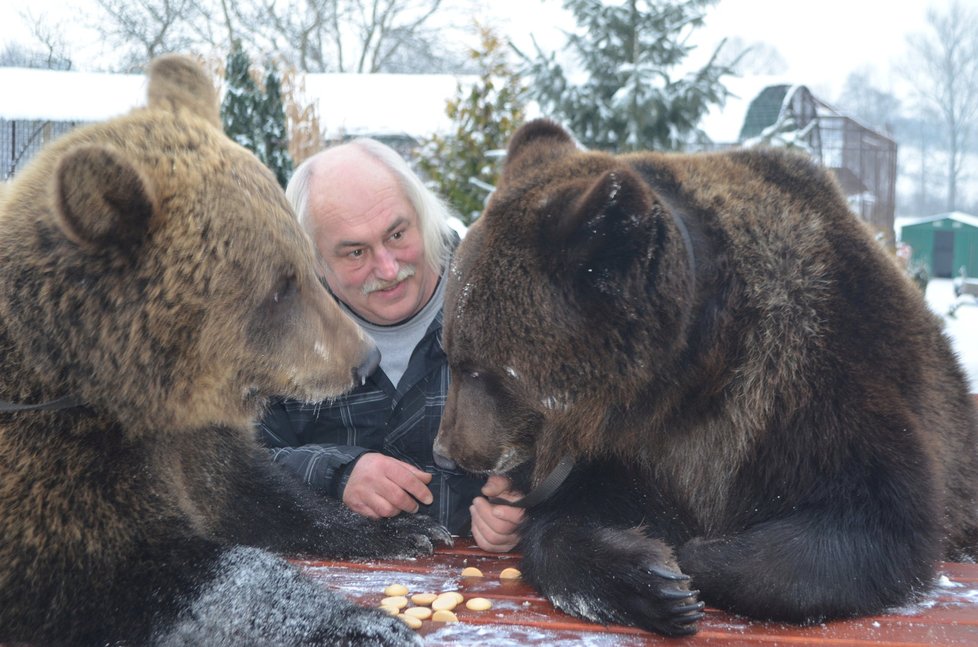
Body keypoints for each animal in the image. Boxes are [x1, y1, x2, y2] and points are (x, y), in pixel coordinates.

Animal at [0, 55, 450, 647]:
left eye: (303, 259)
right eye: (279, 286)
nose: (366, 360)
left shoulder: (197, 443)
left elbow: (263, 496)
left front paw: (407, 527)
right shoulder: (58, 464)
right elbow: (162, 576)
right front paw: (365, 623)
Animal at [430, 119, 976, 636]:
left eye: (476, 366)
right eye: (449, 351)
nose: (446, 452)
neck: (692, 375)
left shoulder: (812, 386)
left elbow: (878, 517)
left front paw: (694, 559)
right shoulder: (636, 450)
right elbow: (569, 523)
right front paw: (654, 580)